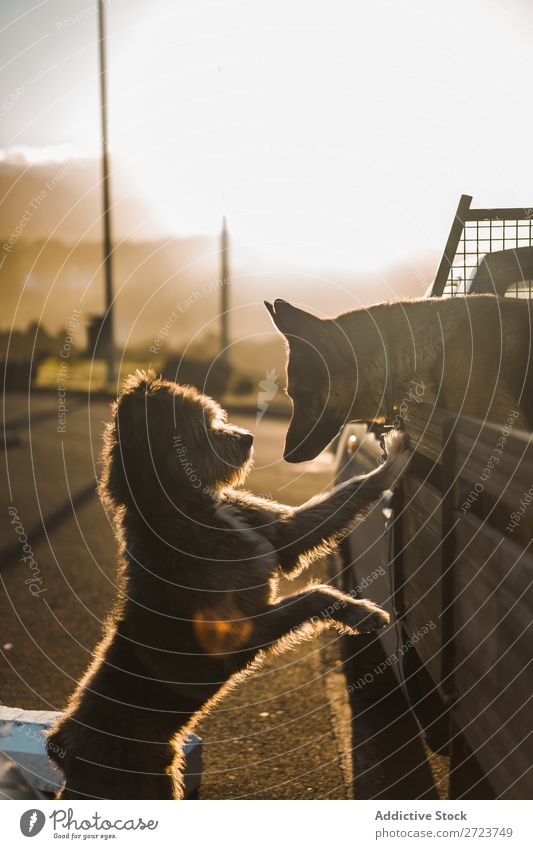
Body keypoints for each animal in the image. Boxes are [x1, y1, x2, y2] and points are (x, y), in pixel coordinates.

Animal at [46, 370, 412, 796]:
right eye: (204, 428)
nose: (247, 437)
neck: (185, 510)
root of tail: (65, 750)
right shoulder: (240, 631)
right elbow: (313, 594)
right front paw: (361, 613)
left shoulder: (282, 534)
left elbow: (344, 498)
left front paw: (394, 458)